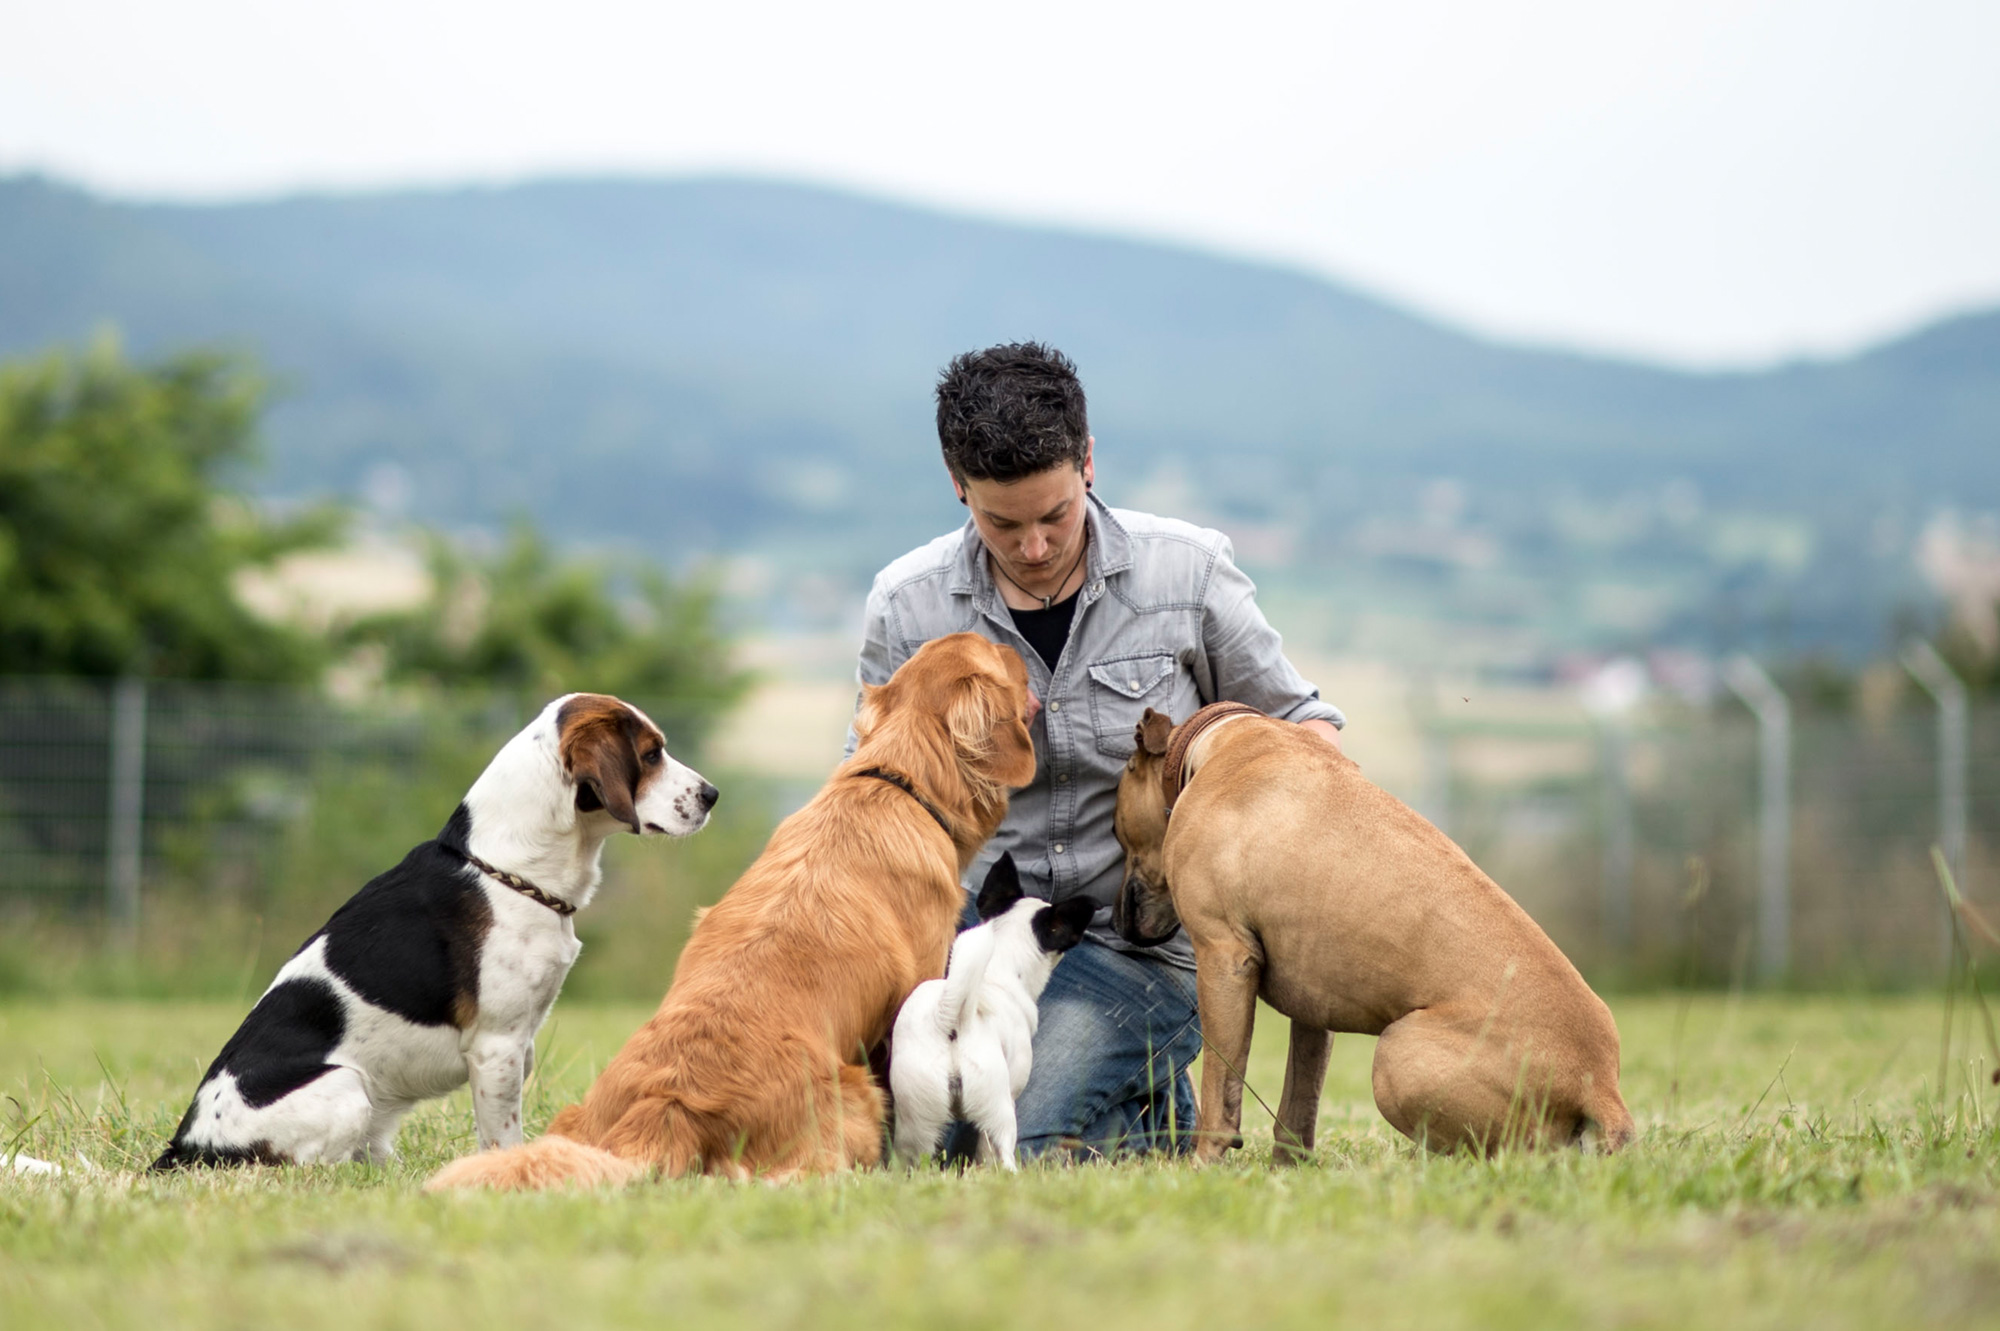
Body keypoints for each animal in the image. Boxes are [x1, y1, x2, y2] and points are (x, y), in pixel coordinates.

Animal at [156, 687, 720, 1167]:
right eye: (651, 755)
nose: (712, 794)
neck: (506, 867)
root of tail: (185, 1148)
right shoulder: (497, 1048)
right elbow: (502, 1138)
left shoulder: (519, 1045)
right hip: (347, 1088)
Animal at [1112, 699, 1640, 1159]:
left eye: (1117, 833)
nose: (1116, 921)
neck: (1213, 742)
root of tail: (1600, 1087)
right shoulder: (1312, 1004)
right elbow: (1298, 1108)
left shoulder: (1224, 961)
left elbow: (1221, 1095)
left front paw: (1204, 1166)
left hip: (1397, 1056)